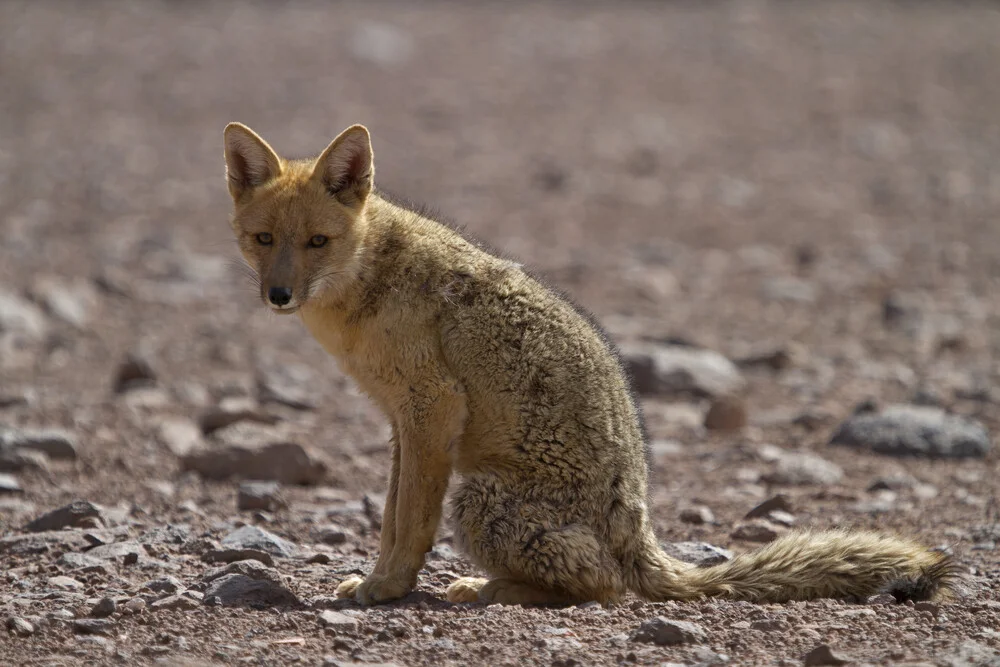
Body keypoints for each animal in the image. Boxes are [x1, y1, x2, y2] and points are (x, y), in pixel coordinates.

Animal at [223, 122, 956, 608]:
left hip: (478, 497)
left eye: (319, 241)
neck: (367, 288)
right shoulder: (403, 422)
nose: (279, 295)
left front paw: (388, 586)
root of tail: (640, 529)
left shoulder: (432, 407)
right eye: (264, 239)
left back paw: (486, 587)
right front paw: (374, 576)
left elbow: (410, 519)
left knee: (601, 587)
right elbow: (390, 513)